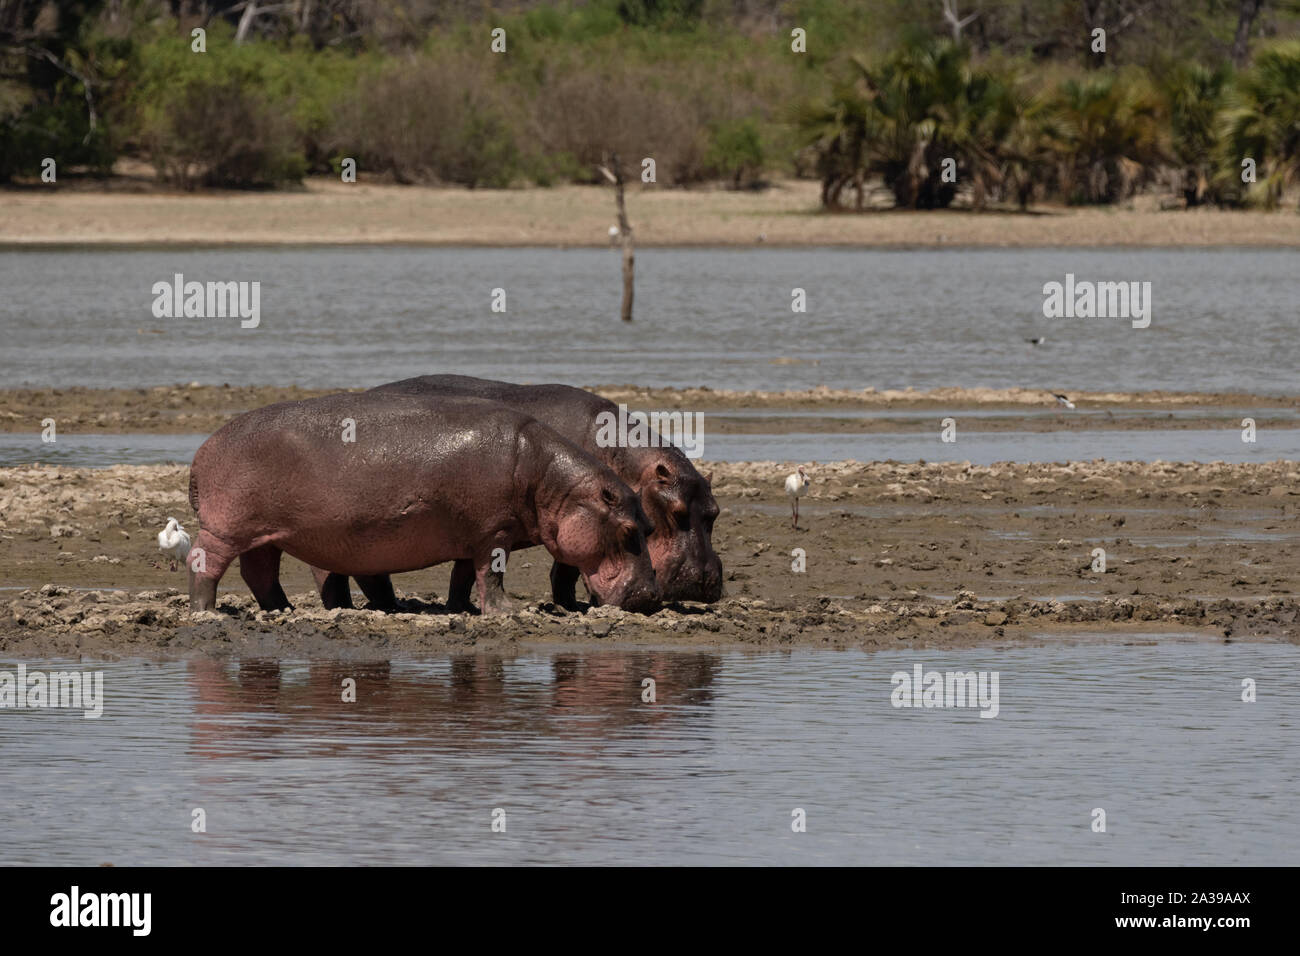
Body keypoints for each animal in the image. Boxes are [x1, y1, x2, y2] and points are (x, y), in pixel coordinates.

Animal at [183, 392, 660, 616]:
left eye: (651, 528)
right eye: (629, 531)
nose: (650, 597)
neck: (551, 481)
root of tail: (203, 450)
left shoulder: (476, 533)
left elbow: (465, 575)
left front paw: (459, 609)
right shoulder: (495, 532)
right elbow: (493, 574)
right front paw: (508, 611)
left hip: (264, 533)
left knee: (259, 571)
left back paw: (282, 610)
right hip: (225, 527)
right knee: (205, 562)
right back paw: (208, 612)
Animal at [315, 374, 722, 608]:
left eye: (714, 513)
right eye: (676, 513)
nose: (704, 581)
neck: (626, 461)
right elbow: (566, 570)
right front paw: (572, 606)